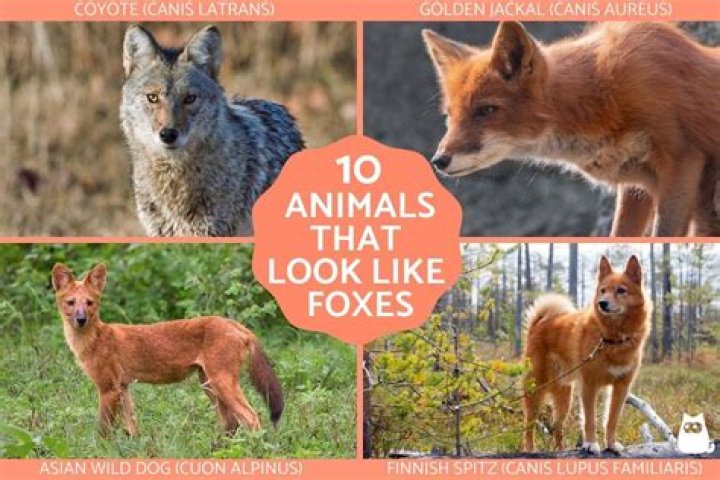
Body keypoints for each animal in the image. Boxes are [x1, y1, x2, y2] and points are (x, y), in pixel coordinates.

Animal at [51, 263, 283, 436]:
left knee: (252, 417)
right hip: (208, 384)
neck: (92, 340)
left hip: (221, 382)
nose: (81, 319)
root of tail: (236, 324)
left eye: (89, 303)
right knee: (231, 423)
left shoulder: (108, 389)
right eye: (71, 303)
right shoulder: (123, 388)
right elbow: (133, 427)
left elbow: (102, 432)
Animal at [522, 255, 650, 454]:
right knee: (529, 423)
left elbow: (612, 420)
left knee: (557, 426)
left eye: (621, 290)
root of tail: (539, 324)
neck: (612, 338)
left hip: (564, 395)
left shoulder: (621, 387)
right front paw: (591, 444)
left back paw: (560, 450)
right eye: (603, 290)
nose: (602, 303)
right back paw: (529, 449)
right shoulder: (590, 385)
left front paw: (611, 444)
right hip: (536, 387)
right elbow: (590, 420)